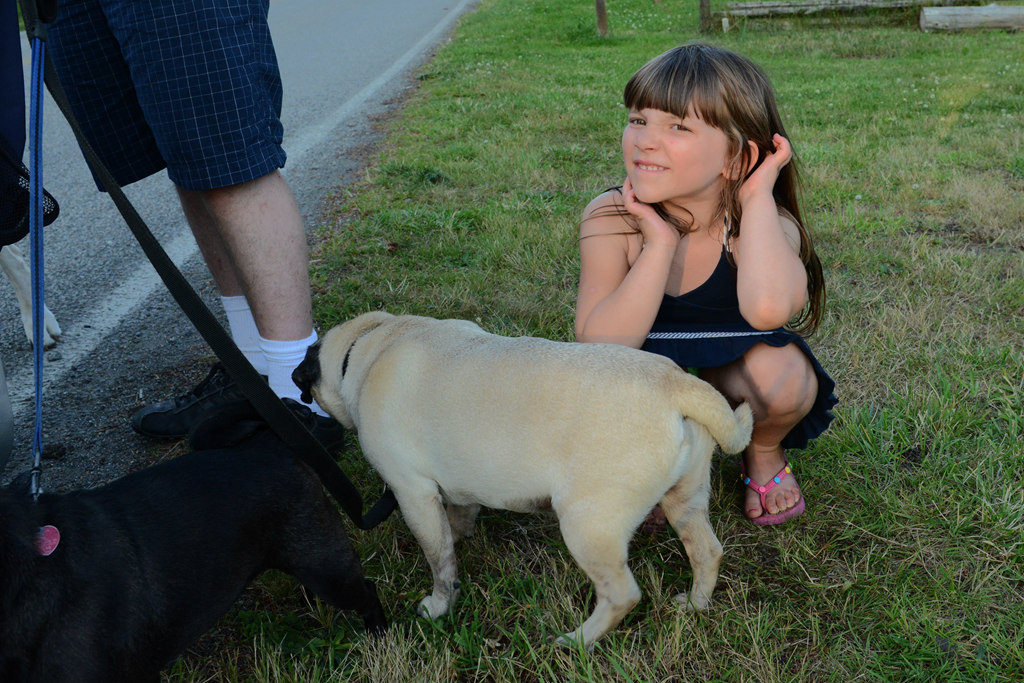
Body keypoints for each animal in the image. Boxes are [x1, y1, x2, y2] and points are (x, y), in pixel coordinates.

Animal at [296, 313, 753, 651]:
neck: (372, 343)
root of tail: (676, 384)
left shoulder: (413, 494)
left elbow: (440, 561)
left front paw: (439, 606)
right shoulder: (457, 488)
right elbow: (455, 523)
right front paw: (460, 537)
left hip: (587, 526)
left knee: (622, 594)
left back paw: (577, 641)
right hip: (685, 501)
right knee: (706, 552)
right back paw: (695, 604)